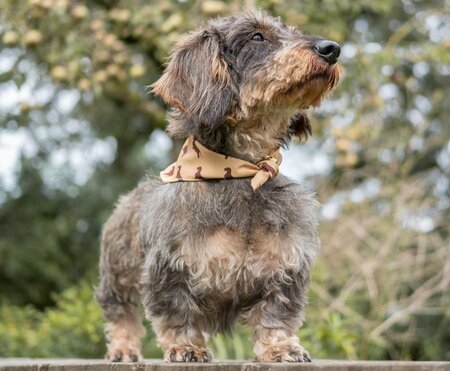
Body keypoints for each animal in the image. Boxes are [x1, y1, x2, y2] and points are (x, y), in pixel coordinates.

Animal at [96, 10, 342, 364]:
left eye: (293, 31)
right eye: (256, 36)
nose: (332, 49)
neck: (240, 174)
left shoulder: (285, 268)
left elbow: (275, 315)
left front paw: (281, 348)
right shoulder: (169, 270)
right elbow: (176, 314)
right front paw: (186, 347)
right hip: (118, 277)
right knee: (121, 313)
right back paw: (123, 349)